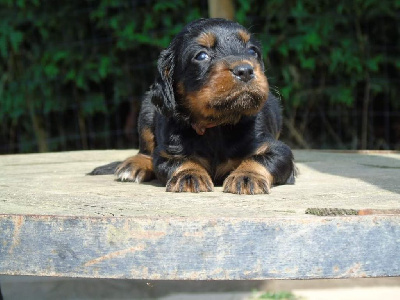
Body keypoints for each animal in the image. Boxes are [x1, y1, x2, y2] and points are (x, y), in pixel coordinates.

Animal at [92, 18, 296, 195]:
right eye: (201, 55)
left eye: (253, 51)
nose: (245, 71)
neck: (218, 126)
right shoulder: (168, 152)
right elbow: (178, 161)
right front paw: (189, 175)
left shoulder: (278, 149)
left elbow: (262, 158)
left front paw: (247, 176)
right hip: (147, 110)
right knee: (145, 150)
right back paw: (134, 165)